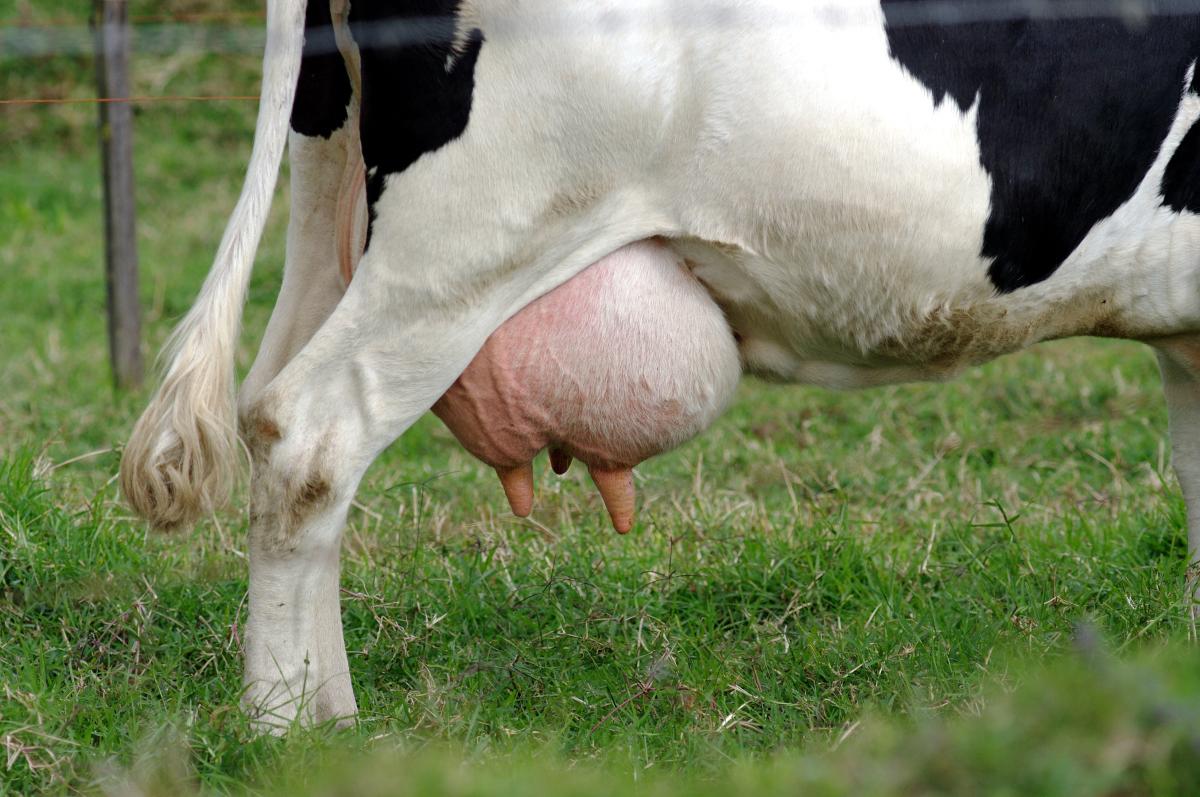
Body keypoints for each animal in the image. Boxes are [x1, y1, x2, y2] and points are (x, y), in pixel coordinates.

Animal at [120, 0, 1200, 730]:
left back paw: (330, 709)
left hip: (333, 201)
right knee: (310, 432)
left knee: (264, 406)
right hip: (465, 237)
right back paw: (287, 727)